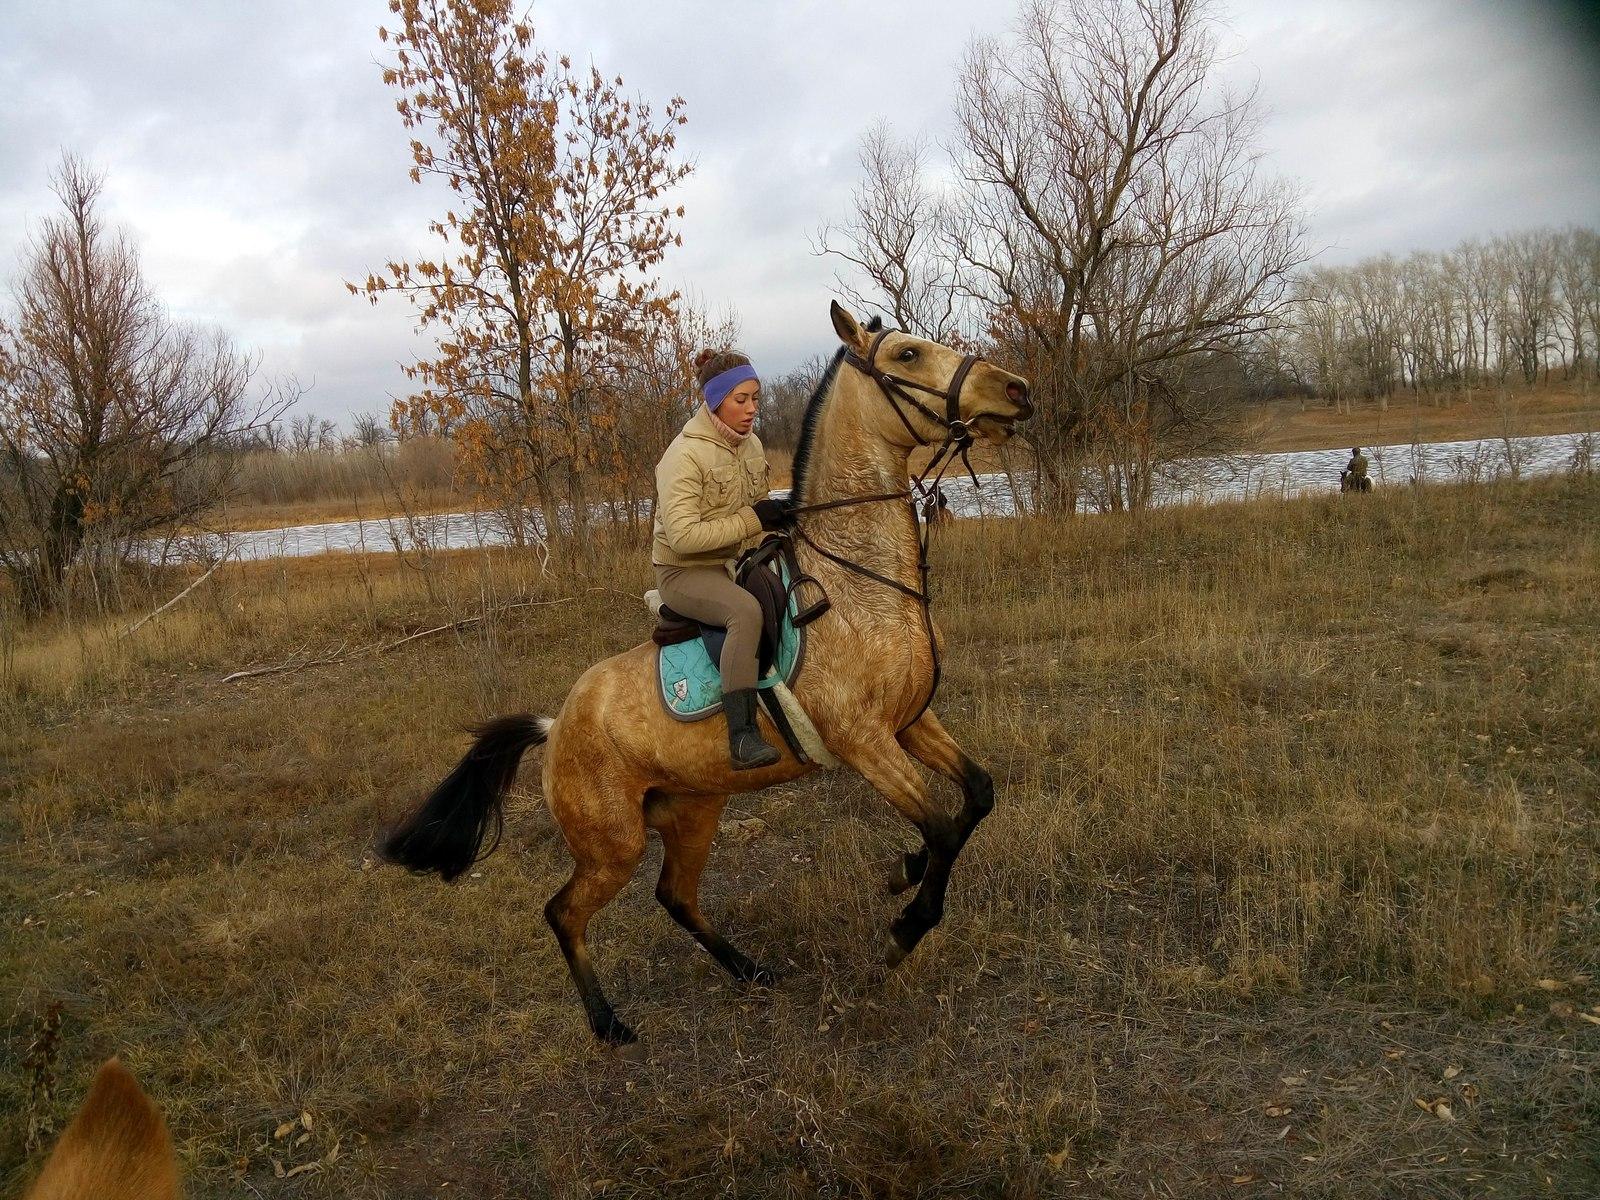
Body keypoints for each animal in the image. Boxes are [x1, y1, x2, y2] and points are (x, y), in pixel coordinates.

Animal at [384, 305, 1036, 1049]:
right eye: (906, 354)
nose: (1016, 390)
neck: (858, 581)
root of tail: (556, 725)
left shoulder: (912, 721)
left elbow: (975, 797)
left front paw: (903, 875)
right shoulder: (863, 740)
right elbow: (943, 827)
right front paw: (904, 929)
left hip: (694, 810)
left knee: (676, 896)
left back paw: (749, 970)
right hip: (613, 845)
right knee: (565, 913)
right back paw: (609, 1024)